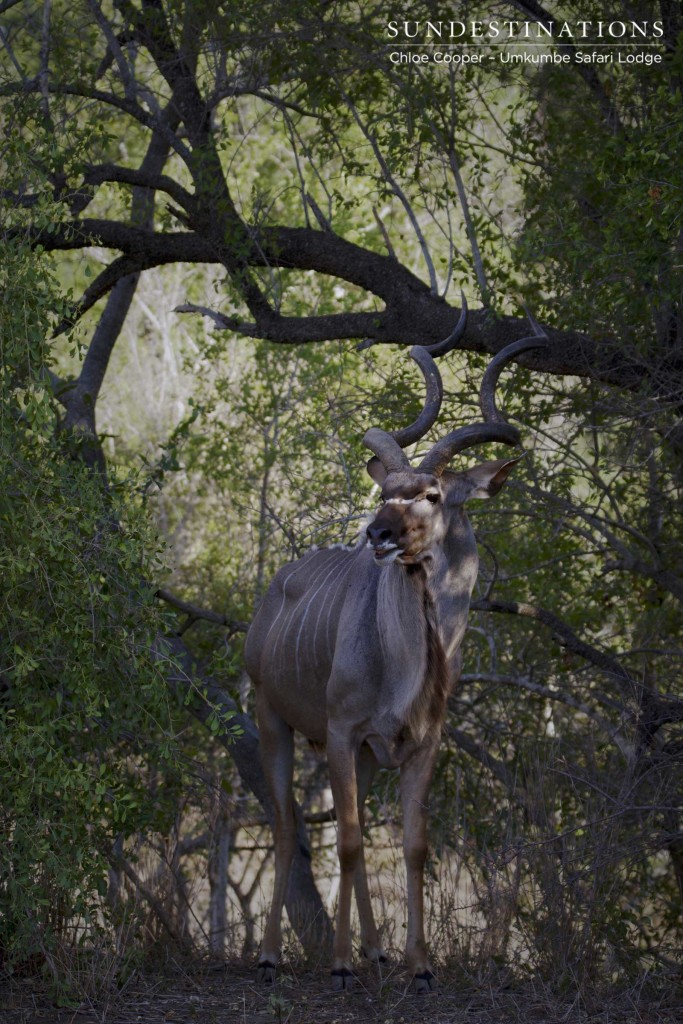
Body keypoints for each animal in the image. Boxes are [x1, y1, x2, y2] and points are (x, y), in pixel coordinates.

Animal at [244, 311, 544, 991]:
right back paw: (272, 956)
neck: (406, 667)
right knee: (288, 827)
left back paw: (376, 951)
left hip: (361, 756)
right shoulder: (343, 730)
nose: (377, 533)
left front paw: (419, 965)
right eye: (390, 490)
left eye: (432, 495)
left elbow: (411, 845)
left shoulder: (416, 745)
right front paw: (339, 965)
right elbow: (351, 843)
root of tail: (274, 589)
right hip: (274, 722)